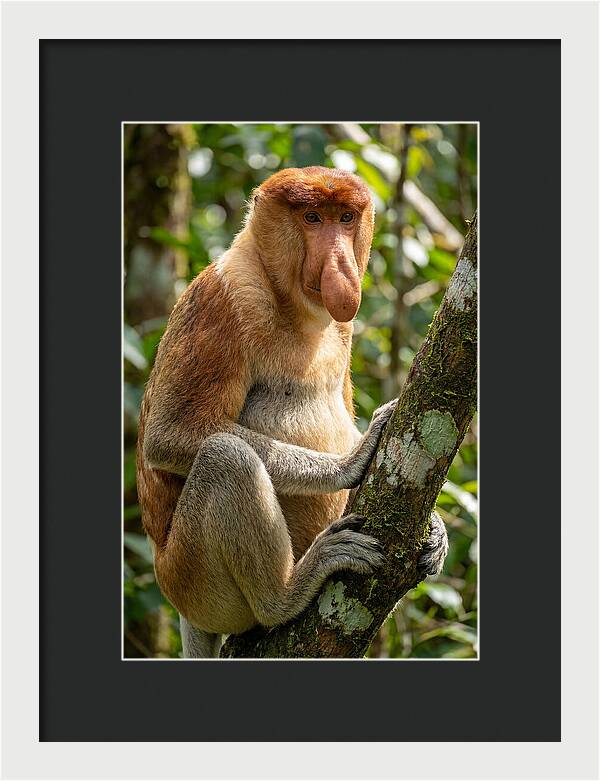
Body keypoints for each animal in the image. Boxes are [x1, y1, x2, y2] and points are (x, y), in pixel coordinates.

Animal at [136, 166, 448, 658]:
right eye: (312, 218)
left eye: (345, 217)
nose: (340, 265)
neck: (296, 307)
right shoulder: (224, 299)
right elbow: (170, 434)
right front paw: (351, 460)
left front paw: (436, 529)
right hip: (191, 580)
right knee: (226, 457)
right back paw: (286, 593)